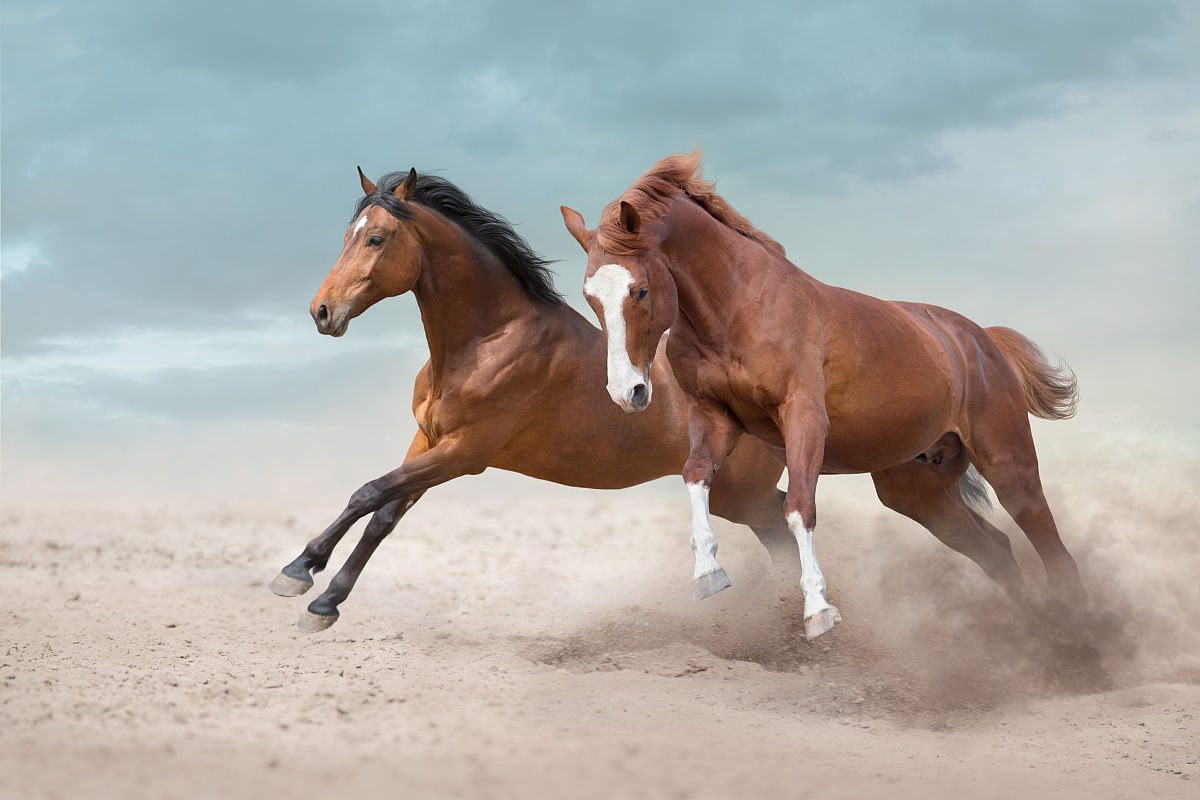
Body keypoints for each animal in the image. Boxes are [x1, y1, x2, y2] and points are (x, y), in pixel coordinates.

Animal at [269, 167, 797, 631]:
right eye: (347, 236)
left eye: (375, 239)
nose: (322, 311)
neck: (487, 341)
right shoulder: (428, 440)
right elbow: (381, 513)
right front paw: (319, 597)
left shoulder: (464, 453)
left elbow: (370, 492)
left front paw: (299, 574)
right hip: (738, 497)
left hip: (739, 495)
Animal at [562, 151, 1085, 639]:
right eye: (590, 297)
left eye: (641, 291)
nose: (627, 391)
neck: (738, 310)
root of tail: (981, 340)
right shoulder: (712, 416)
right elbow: (695, 476)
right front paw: (708, 574)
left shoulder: (803, 416)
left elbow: (799, 508)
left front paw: (818, 611)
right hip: (918, 490)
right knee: (996, 550)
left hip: (1008, 465)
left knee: (1054, 553)